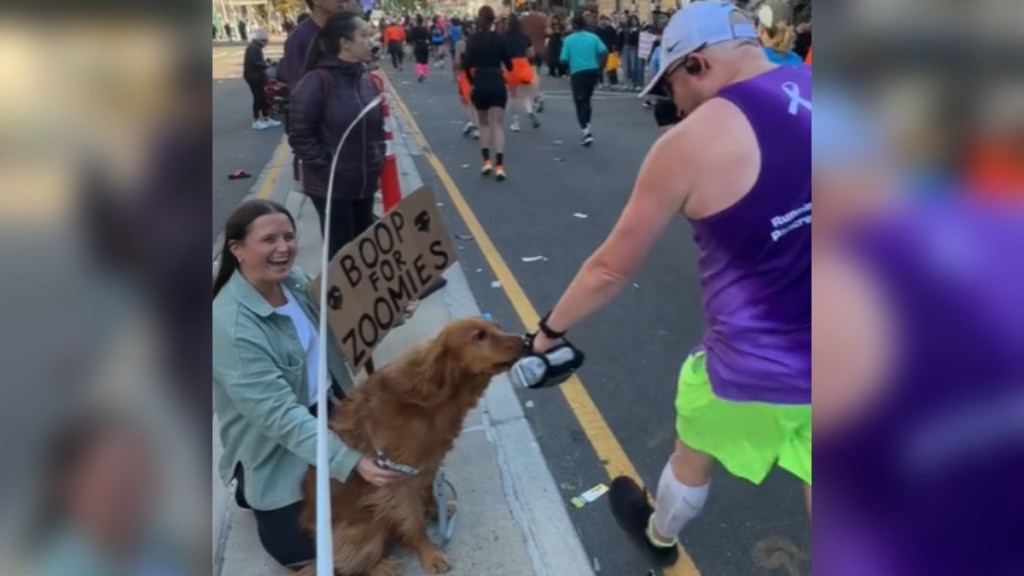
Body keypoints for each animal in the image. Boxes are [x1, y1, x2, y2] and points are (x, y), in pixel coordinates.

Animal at [294, 315, 520, 569]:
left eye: (497, 328)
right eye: (479, 336)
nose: (524, 340)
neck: (428, 400)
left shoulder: (425, 465)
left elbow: (429, 492)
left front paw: (436, 512)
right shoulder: (396, 483)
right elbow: (414, 523)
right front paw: (430, 554)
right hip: (368, 531)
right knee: (342, 564)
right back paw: (381, 567)